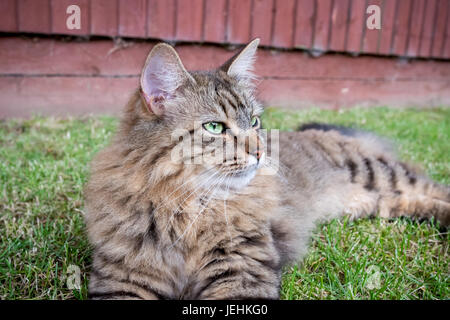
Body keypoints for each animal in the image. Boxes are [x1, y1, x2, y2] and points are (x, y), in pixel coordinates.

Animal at [84, 39, 450, 300]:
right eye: (215, 127)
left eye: (255, 122)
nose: (260, 152)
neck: (186, 209)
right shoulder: (124, 277)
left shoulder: (242, 267)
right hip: (370, 201)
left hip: (376, 172)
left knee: (435, 189)